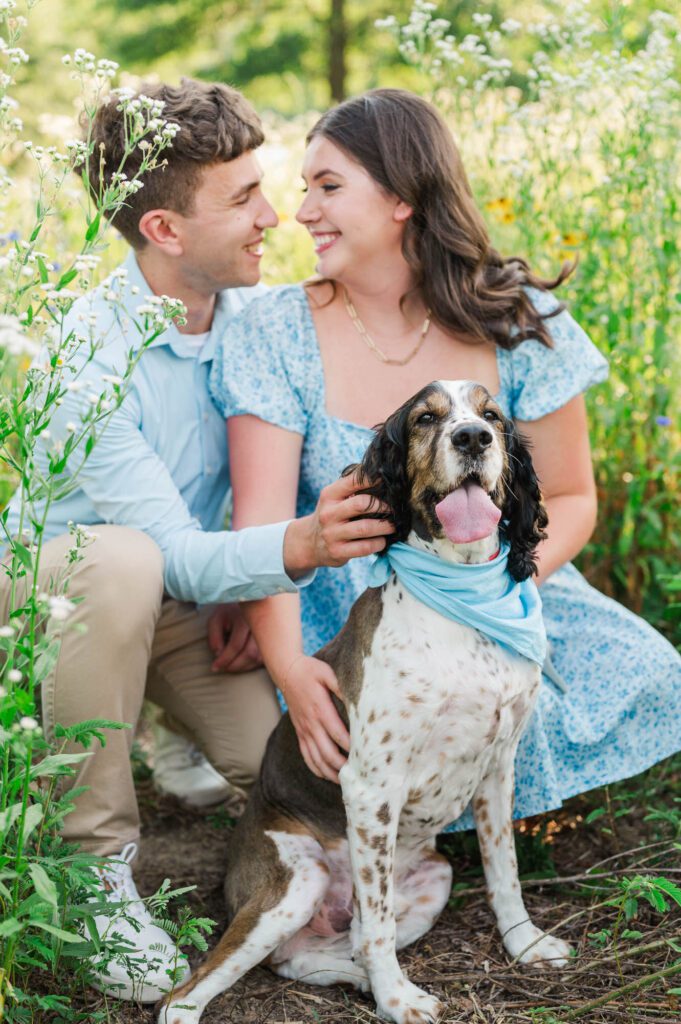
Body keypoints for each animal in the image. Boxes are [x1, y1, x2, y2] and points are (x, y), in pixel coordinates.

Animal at [161, 380, 569, 1024]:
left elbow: (504, 873)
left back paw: (357, 980)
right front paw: (400, 1001)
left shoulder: (498, 769)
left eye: (492, 416)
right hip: (294, 882)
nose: (472, 438)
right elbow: (376, 924)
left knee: (323, 949)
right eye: (426, 418)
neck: (463, 605)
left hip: (434, 877)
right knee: (188, 992)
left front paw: (525, 944)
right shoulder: (371, 786)